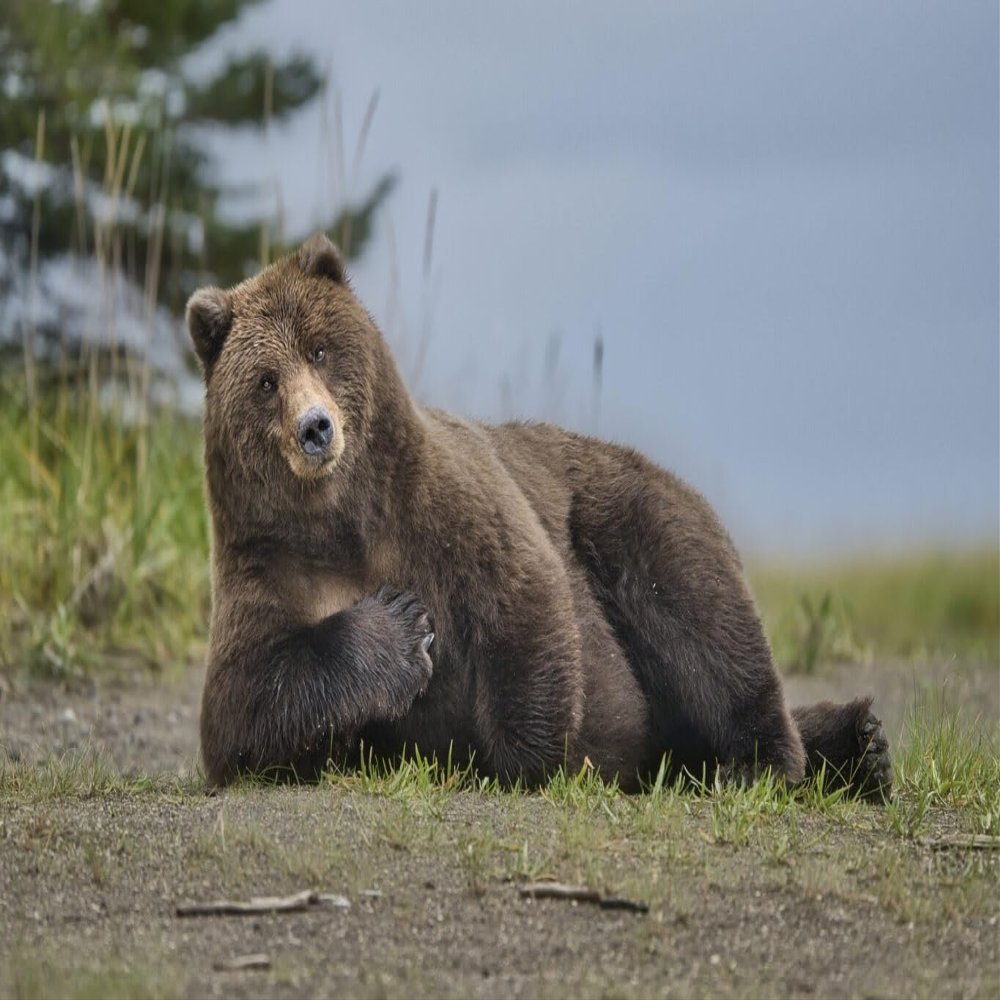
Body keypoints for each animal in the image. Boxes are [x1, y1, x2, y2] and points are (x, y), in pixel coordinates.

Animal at [186, 233, 892, 800]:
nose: (316, 428)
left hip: (628, 513)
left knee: (701, 618)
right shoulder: (271, 567)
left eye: (322, 350)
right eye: (267, 380)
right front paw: (400, 626)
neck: (344, 524)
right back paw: (858, 744)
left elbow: (523, 597)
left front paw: (527, 757)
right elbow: (241, 709)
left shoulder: (447, 505)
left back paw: (781, 760)